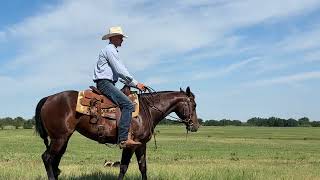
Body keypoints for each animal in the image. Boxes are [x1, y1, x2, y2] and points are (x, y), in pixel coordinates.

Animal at [35, 86, 200, 179]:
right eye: (194, 104)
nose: (196, 126)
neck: (147, 110)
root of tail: (48, 98)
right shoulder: (129, 145)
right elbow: (123, 167)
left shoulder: (141, 145)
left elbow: (143, 167)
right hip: (59, 138)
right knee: (47, 158)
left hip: (62, 139)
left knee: (55, 162)